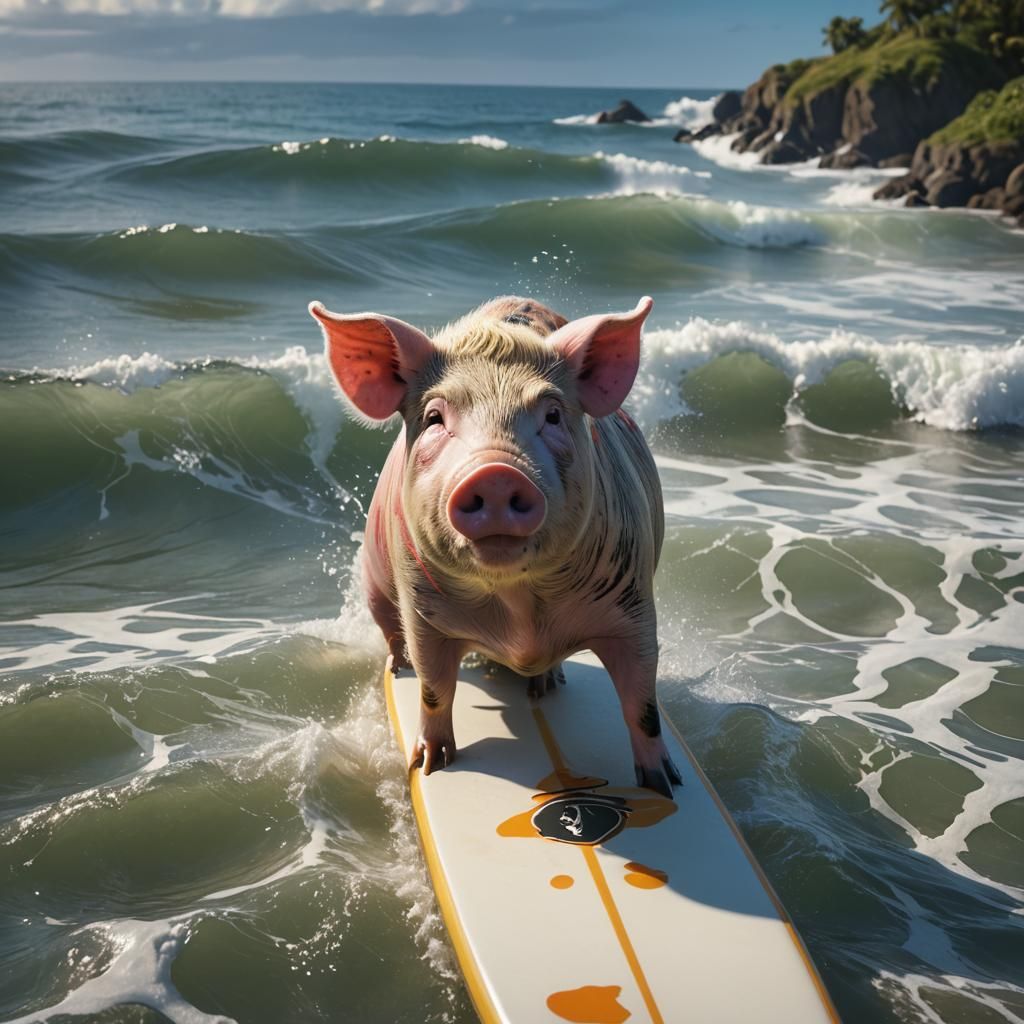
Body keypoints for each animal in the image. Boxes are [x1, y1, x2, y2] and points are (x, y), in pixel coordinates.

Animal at [309, 295, 682, 797]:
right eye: (434, 418)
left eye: (552, 415)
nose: (497, 473)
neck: (517, 606)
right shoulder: (422, 610)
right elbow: (434, 688)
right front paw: (431, 766)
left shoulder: (635, 606)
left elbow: (642, 703)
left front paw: (664, 785)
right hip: (373, 576)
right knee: (392, 635)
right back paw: (397, 669)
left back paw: (544, 686)